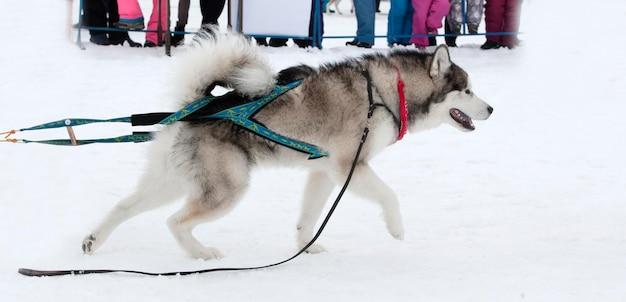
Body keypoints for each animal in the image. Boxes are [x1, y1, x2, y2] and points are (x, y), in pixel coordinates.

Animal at [81, 28, 492, 260]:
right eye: (468, 90)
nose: (491, 108)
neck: (390, 92)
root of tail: (192, 106)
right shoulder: (350, 166)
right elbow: (390, 195)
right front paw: (396, 229)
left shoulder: (323, 171)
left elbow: (307, 217)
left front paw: (305, 248)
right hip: (227, 188)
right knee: (175, 221)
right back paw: (201, 254)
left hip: (171, 180)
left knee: (124, 206)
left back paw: (92, 241)